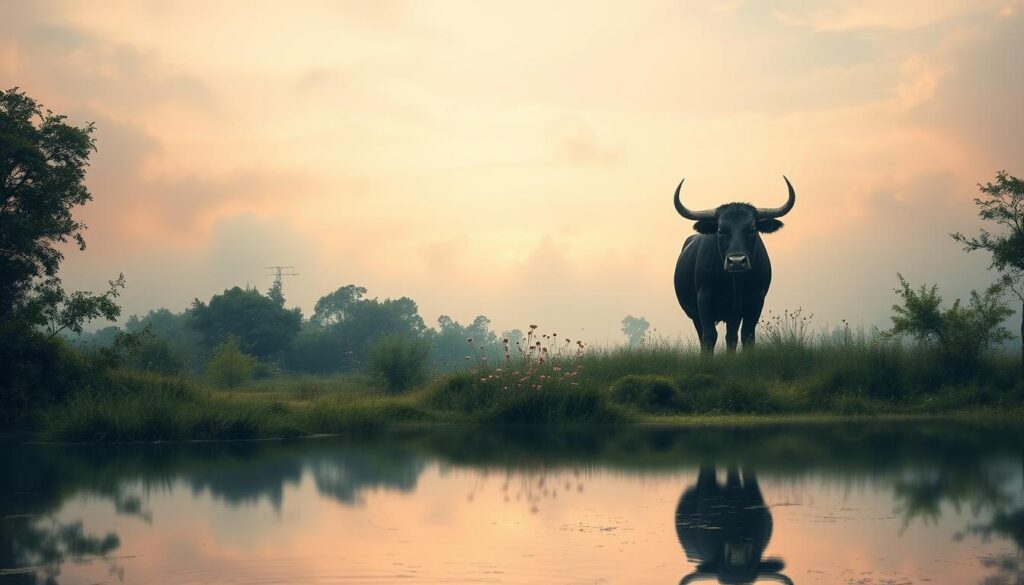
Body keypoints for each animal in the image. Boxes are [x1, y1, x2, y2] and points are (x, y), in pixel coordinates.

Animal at [672, 177, 796, 353]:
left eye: (752, 229)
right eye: (720, 230)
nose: (736, 262)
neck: (734, 281)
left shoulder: (755, 301)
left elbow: (747, 335)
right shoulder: (704, 300)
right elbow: (709, 336)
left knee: (731, 337)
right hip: (695, 315)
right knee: (704, 336)